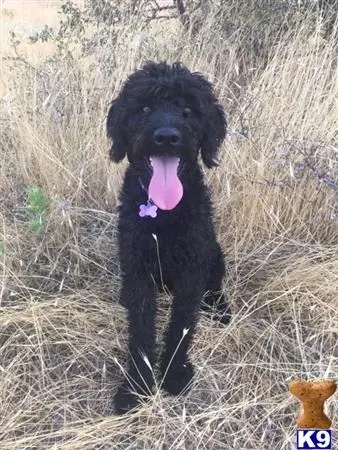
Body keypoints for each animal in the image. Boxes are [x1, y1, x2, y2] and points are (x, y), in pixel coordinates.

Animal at [107, 61, 231, 414]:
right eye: (145, 108)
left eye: (188, 110)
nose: (166, 137)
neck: (163, 215)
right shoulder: (137, 270)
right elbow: (140, 331)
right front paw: (136, 385)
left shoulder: (192, 270)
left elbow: (182, 325)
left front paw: (174, 373)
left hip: (215, 254)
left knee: (214, 286)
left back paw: (220, 308)